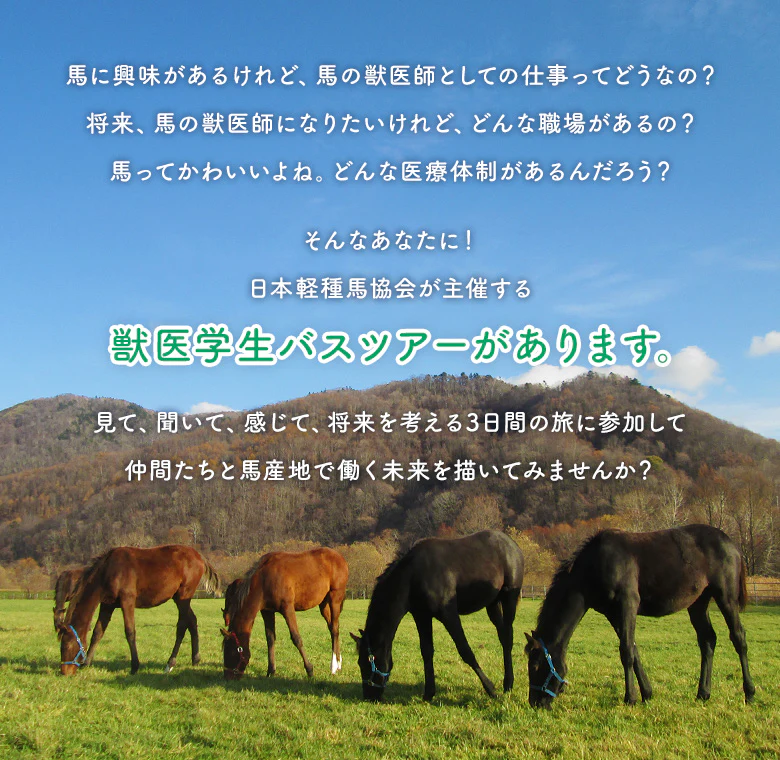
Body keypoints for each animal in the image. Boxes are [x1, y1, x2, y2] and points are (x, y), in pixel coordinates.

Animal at [58, 544, 220, 675]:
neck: (109, 570)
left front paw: (135, 666)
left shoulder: (127, 600)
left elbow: (130, 631)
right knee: (192, 621)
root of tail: (199, 556)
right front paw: (87, 662)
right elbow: (98, 632)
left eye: (66, 646)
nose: (65, 671)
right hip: (179, 598)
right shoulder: (107, 605)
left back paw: (170, 663)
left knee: (182, 625)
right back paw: (195, 659)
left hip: (183, 595)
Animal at [221, 547, 348, 680]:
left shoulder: (287, 609)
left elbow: (296, 638)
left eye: (231, 651)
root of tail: (339, 557)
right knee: (333, 628)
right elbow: (270, 639)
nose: (227, 677)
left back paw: (334, 666)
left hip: (335, 598)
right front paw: (271, 671)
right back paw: (338, 662)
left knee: (334, 629)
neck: (264, 580)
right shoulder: (267, 611)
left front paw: (309, 669)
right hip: (323, 604)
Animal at [351, 530, 524, 702]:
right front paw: (429, 693)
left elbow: (465, 650)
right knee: (502, 636)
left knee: (507, 637)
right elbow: (427, 651)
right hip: (492, 604)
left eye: (365, 663)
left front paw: (490, 689)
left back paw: (508, 683)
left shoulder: (449, 614)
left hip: (509, 598)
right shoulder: (422, 616)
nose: (369, 696)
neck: (414, 576)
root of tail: (510, 543)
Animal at [525, 524, 755, 707]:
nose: (535, 703)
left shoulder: (627, 605)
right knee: (707, 640)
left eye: (535, 666)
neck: (595, 566)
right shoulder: (613, 614)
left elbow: (626, 651)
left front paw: (631, 698)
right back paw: (703, 693)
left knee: (738, 638)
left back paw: (749, 693)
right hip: (698, 603)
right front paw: (647, 693)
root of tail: (730, 542)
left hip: (726, 598)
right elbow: (633, 650)